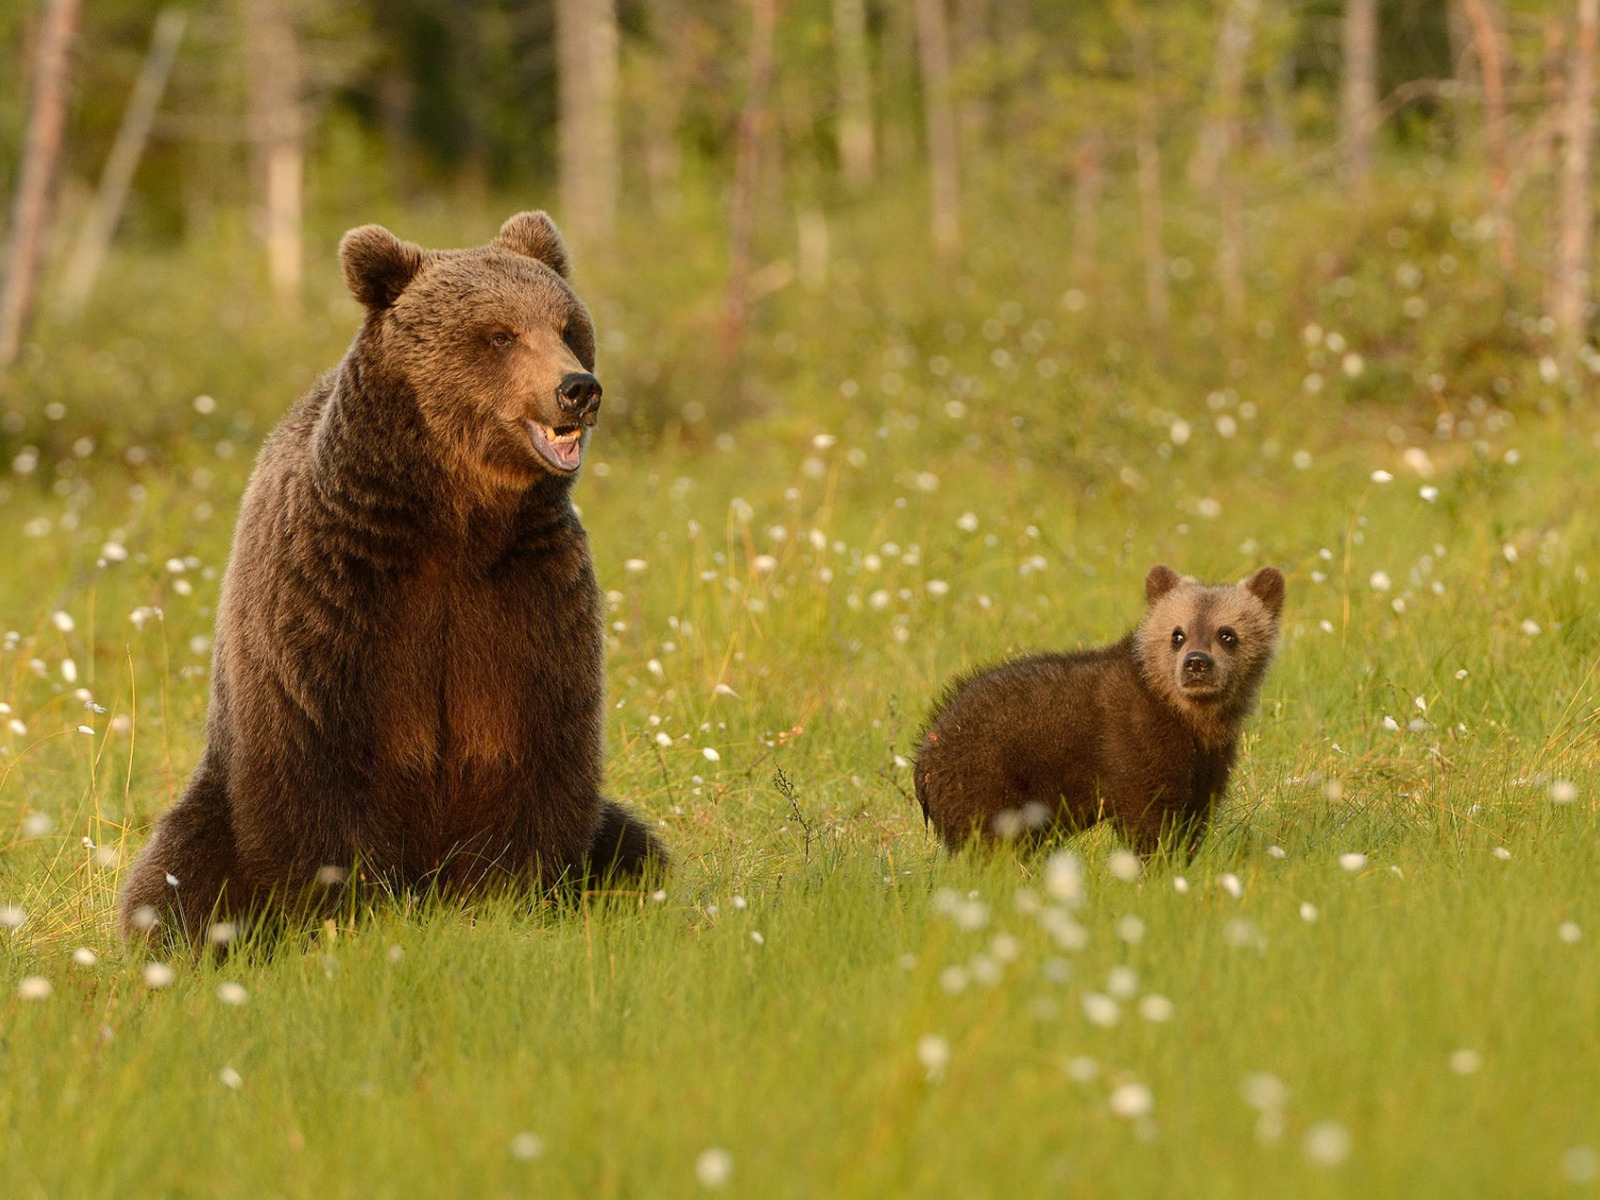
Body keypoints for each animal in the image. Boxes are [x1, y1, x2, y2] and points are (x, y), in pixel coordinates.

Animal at [118, 214, 665, 947]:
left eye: (567, 326)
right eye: (500, 334)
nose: (578, 388)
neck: (450, 523)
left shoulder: (525, 593)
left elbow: (532, 744)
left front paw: (504, 901)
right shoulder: (334, 596)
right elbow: (316, 768)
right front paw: (345, 912)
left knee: (636, 845)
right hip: (214, 802)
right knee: (175, 872)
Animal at [921, 566, 1280, 857]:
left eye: (1227, 634)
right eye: (1177, 634)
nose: (1196, 663)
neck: (1188, 720)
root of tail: (925, 747)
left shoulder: (1208, 764)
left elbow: (1193, 818)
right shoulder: (1130, 745)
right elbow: (1146, 817)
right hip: (986, 778)